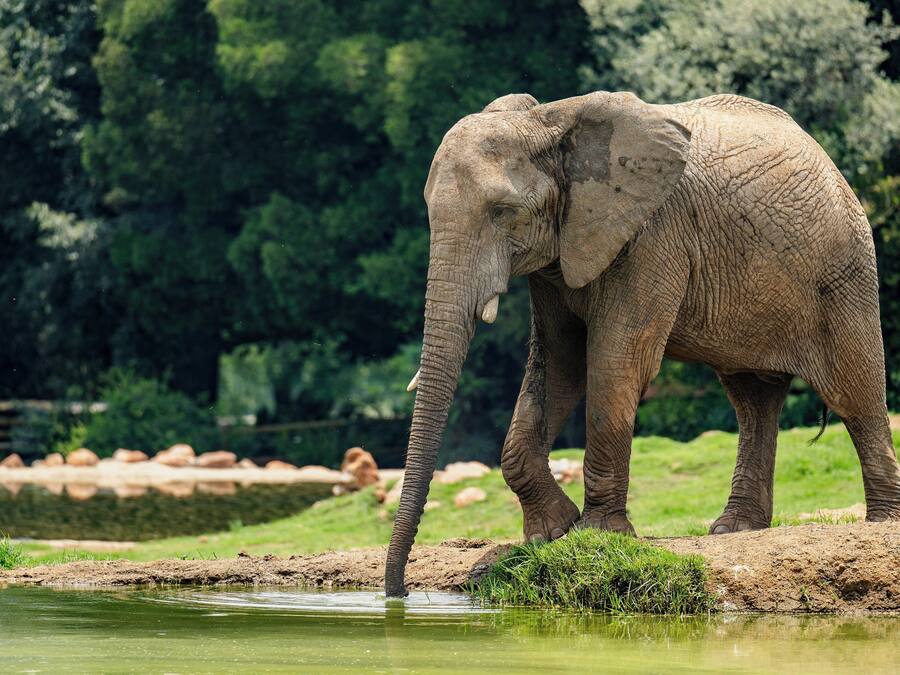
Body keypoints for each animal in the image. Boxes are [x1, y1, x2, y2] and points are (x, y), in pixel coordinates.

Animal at [383, 90, 900, 596]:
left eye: (502, 212)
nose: (400, 593)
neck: (550, 122)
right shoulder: (560, 252)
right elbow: (559, 363)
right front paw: (551, 532)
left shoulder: (651, 234)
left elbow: (616, 361)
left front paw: (597, 535)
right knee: (752, 400)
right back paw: (735, 529)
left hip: (844, 269)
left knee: (855, 394)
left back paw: (880, 523)